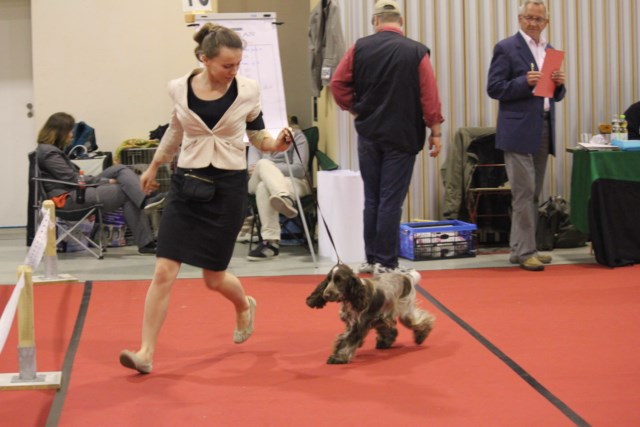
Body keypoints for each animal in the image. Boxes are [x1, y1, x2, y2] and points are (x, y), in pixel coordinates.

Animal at [306, 264, 435, 364]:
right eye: (328, 280)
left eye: (339, 280)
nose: (325, 295)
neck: (352, 297)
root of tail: (406, 277)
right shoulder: (353, 323)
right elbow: (343, 339)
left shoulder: (359, 325)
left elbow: (347, 341)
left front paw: (338, 358)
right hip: (383, 316)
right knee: (390, 328)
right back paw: (385, 342)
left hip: (405, 309)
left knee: (421, 320)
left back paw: (420, 336)